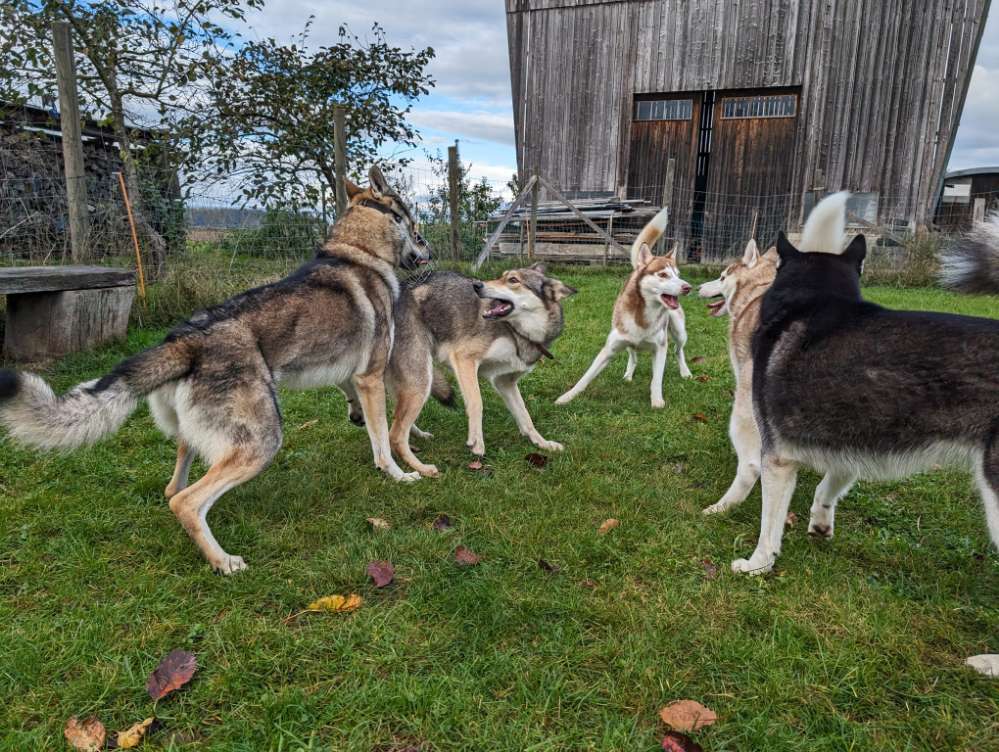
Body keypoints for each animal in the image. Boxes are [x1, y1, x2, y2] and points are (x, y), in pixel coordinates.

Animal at [0, 166, 430, 576]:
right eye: (412, 223)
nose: (426, 248)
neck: (358, 251)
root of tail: (183, 340)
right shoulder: (370, 376)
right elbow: (382, 438)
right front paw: (399, 473)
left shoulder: (350, 374)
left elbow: (370, 416)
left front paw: (389, 428)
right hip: (262, 443)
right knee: (186, 503)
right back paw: (223, 562)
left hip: (208, 437)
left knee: (173, 487)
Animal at [378, 266, 576, 476]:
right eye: (502, 276)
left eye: (513, 280)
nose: (477, 285)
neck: (519, 333)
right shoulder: (464, 359)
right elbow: (476, 402)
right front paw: (476, 441)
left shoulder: (505, 382)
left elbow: (525, 416)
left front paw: (542, 443)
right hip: (421, 381)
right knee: (395, 435)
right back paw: (421, 468)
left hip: (410, 383)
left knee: (397, 420)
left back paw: (419, 437)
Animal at [728, 191, 999, 680]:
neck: (815, 301)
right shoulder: (854, 443)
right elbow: (828, 488)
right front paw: (820, 524)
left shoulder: (777, 457)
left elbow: (768, 529)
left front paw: (757, 566)